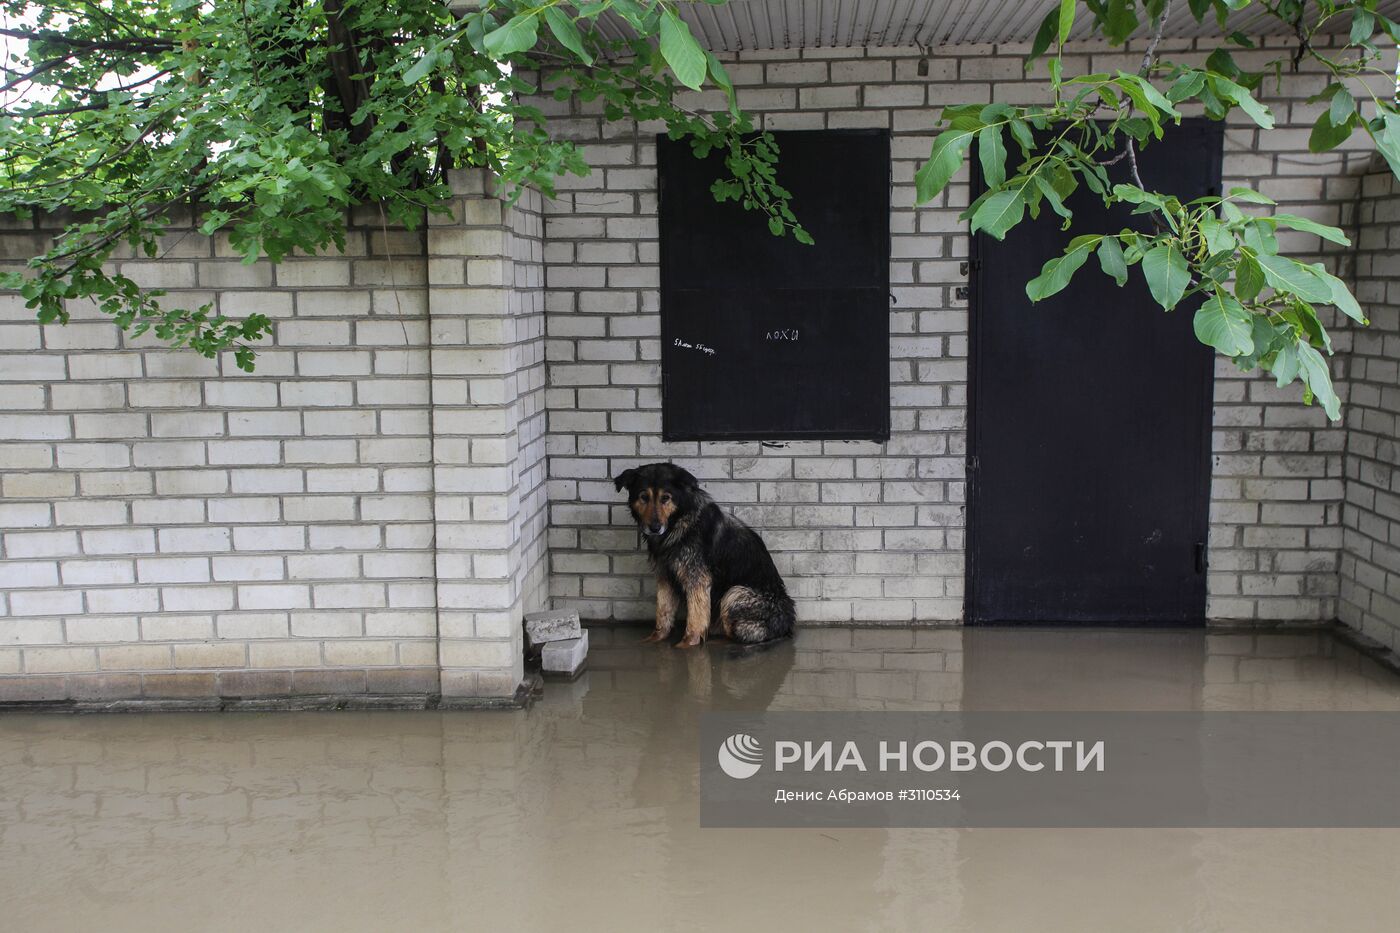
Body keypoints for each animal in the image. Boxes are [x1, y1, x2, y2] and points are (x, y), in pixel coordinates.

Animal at [616, 459, 800, 647]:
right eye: (643, 497)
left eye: (665, 498)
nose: (654, 528)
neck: (680, 521)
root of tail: (787, 624)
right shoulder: (665, 577)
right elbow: (663, 611)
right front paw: (655, 638)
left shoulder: (697, 579)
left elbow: (696, 616)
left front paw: (687, 644)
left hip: (735, 594)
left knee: (740, 633)